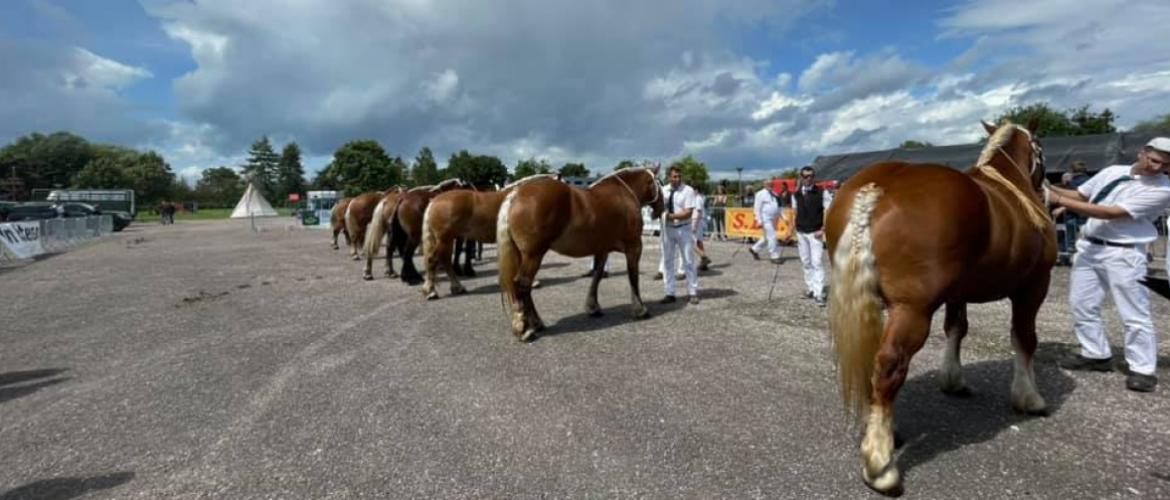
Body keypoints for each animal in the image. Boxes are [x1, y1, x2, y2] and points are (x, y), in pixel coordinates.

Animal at [423, 174, 559, 299]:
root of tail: (434, 200)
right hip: (444, 240)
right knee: (432, 260)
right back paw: (431, 291)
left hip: (448, 240)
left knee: (445, 261)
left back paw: (457, 287)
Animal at [493, 166, 664, 341]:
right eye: (660, 183)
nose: (661, 209)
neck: (624, 194)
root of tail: (515, 195)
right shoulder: (634, 247)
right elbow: (633, 277)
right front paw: (640, 309)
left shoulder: (602, 249)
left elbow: (597, 276)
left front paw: (593, 307)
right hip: (533, 255)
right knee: (522, 284)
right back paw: (525, 329)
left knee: (524, 287)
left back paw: (535, 323)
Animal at [823, 120, 1053, 496]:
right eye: (1041, 150)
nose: (1046, 186)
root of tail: (877, 188)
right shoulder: (1033, 286)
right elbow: (1024, 338)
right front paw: (1028, 397)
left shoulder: (957, 293)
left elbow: (956, 329)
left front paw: (953, 380)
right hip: (912, 310)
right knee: (889, 365)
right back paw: (880, 465)